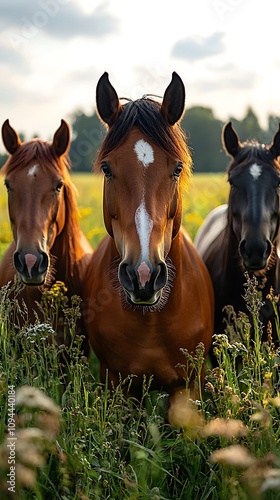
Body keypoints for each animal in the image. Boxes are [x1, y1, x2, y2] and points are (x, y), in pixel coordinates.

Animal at [83, 72, 214, 412]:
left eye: (177, 168)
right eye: (107, 168)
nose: (143, 275)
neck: (152, 323)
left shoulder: (188, 387)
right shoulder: (119, 386)